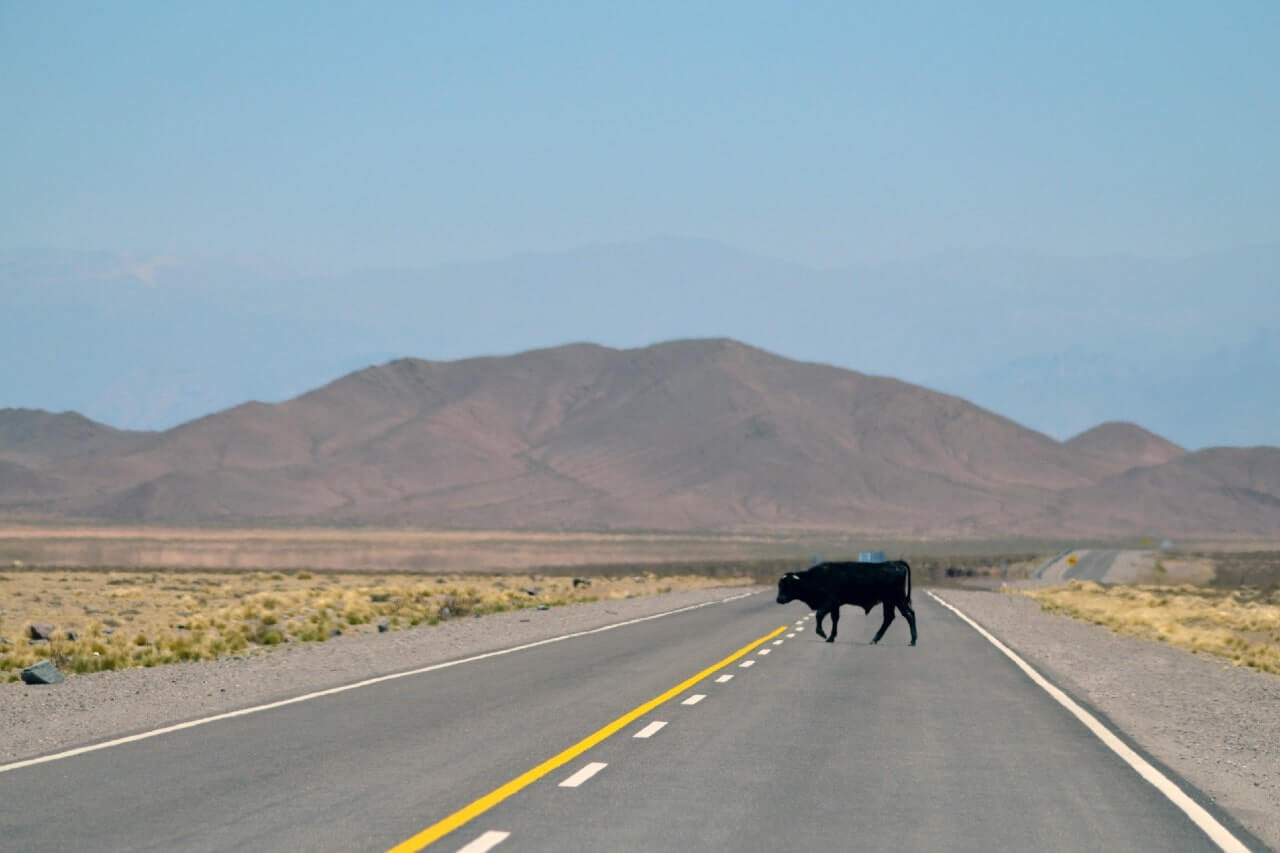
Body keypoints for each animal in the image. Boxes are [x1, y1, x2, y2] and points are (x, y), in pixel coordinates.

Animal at [773, 560, 916, 640]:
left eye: (788, 585)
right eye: (779, 585)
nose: (779, 599)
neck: (817, 577)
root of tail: (896, 563)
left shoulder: (829, 602)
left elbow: (819, 615)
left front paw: (823, 634)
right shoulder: (835, 605)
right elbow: (835, 619)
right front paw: (831, 637)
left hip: (897, 599)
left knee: (908, 614)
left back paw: (913, 640)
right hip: (889, 601)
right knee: (889, 618)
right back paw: (875, 639)